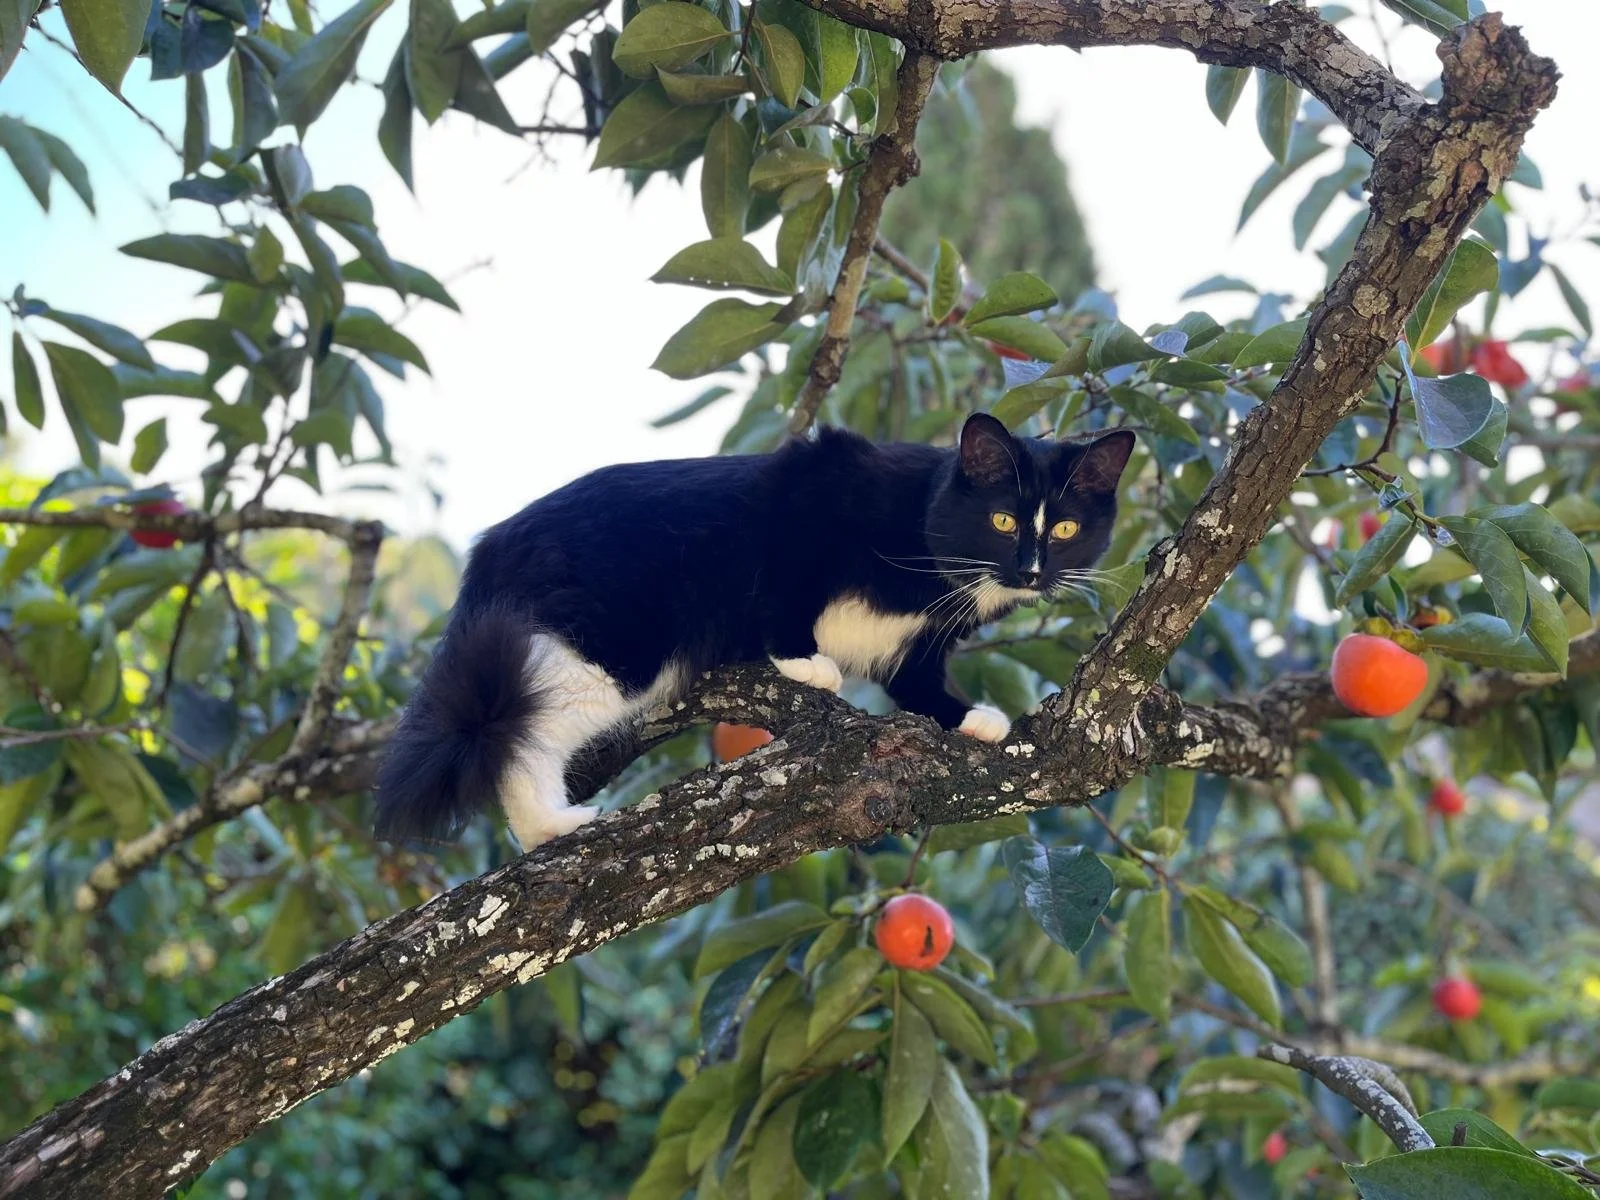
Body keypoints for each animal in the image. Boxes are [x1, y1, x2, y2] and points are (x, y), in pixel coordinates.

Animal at [373, 413, 1134, 851]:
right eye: (1004, 519)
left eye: (1066, 528)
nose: (1030, 570)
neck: (925, 536)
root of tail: (491, 545)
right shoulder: (810, 500)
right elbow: (784, 585)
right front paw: (803, 659)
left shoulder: (922, 643)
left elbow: (917, 687)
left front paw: (970, 719)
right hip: (612, 644)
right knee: (517, 728)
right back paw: (549, 826)